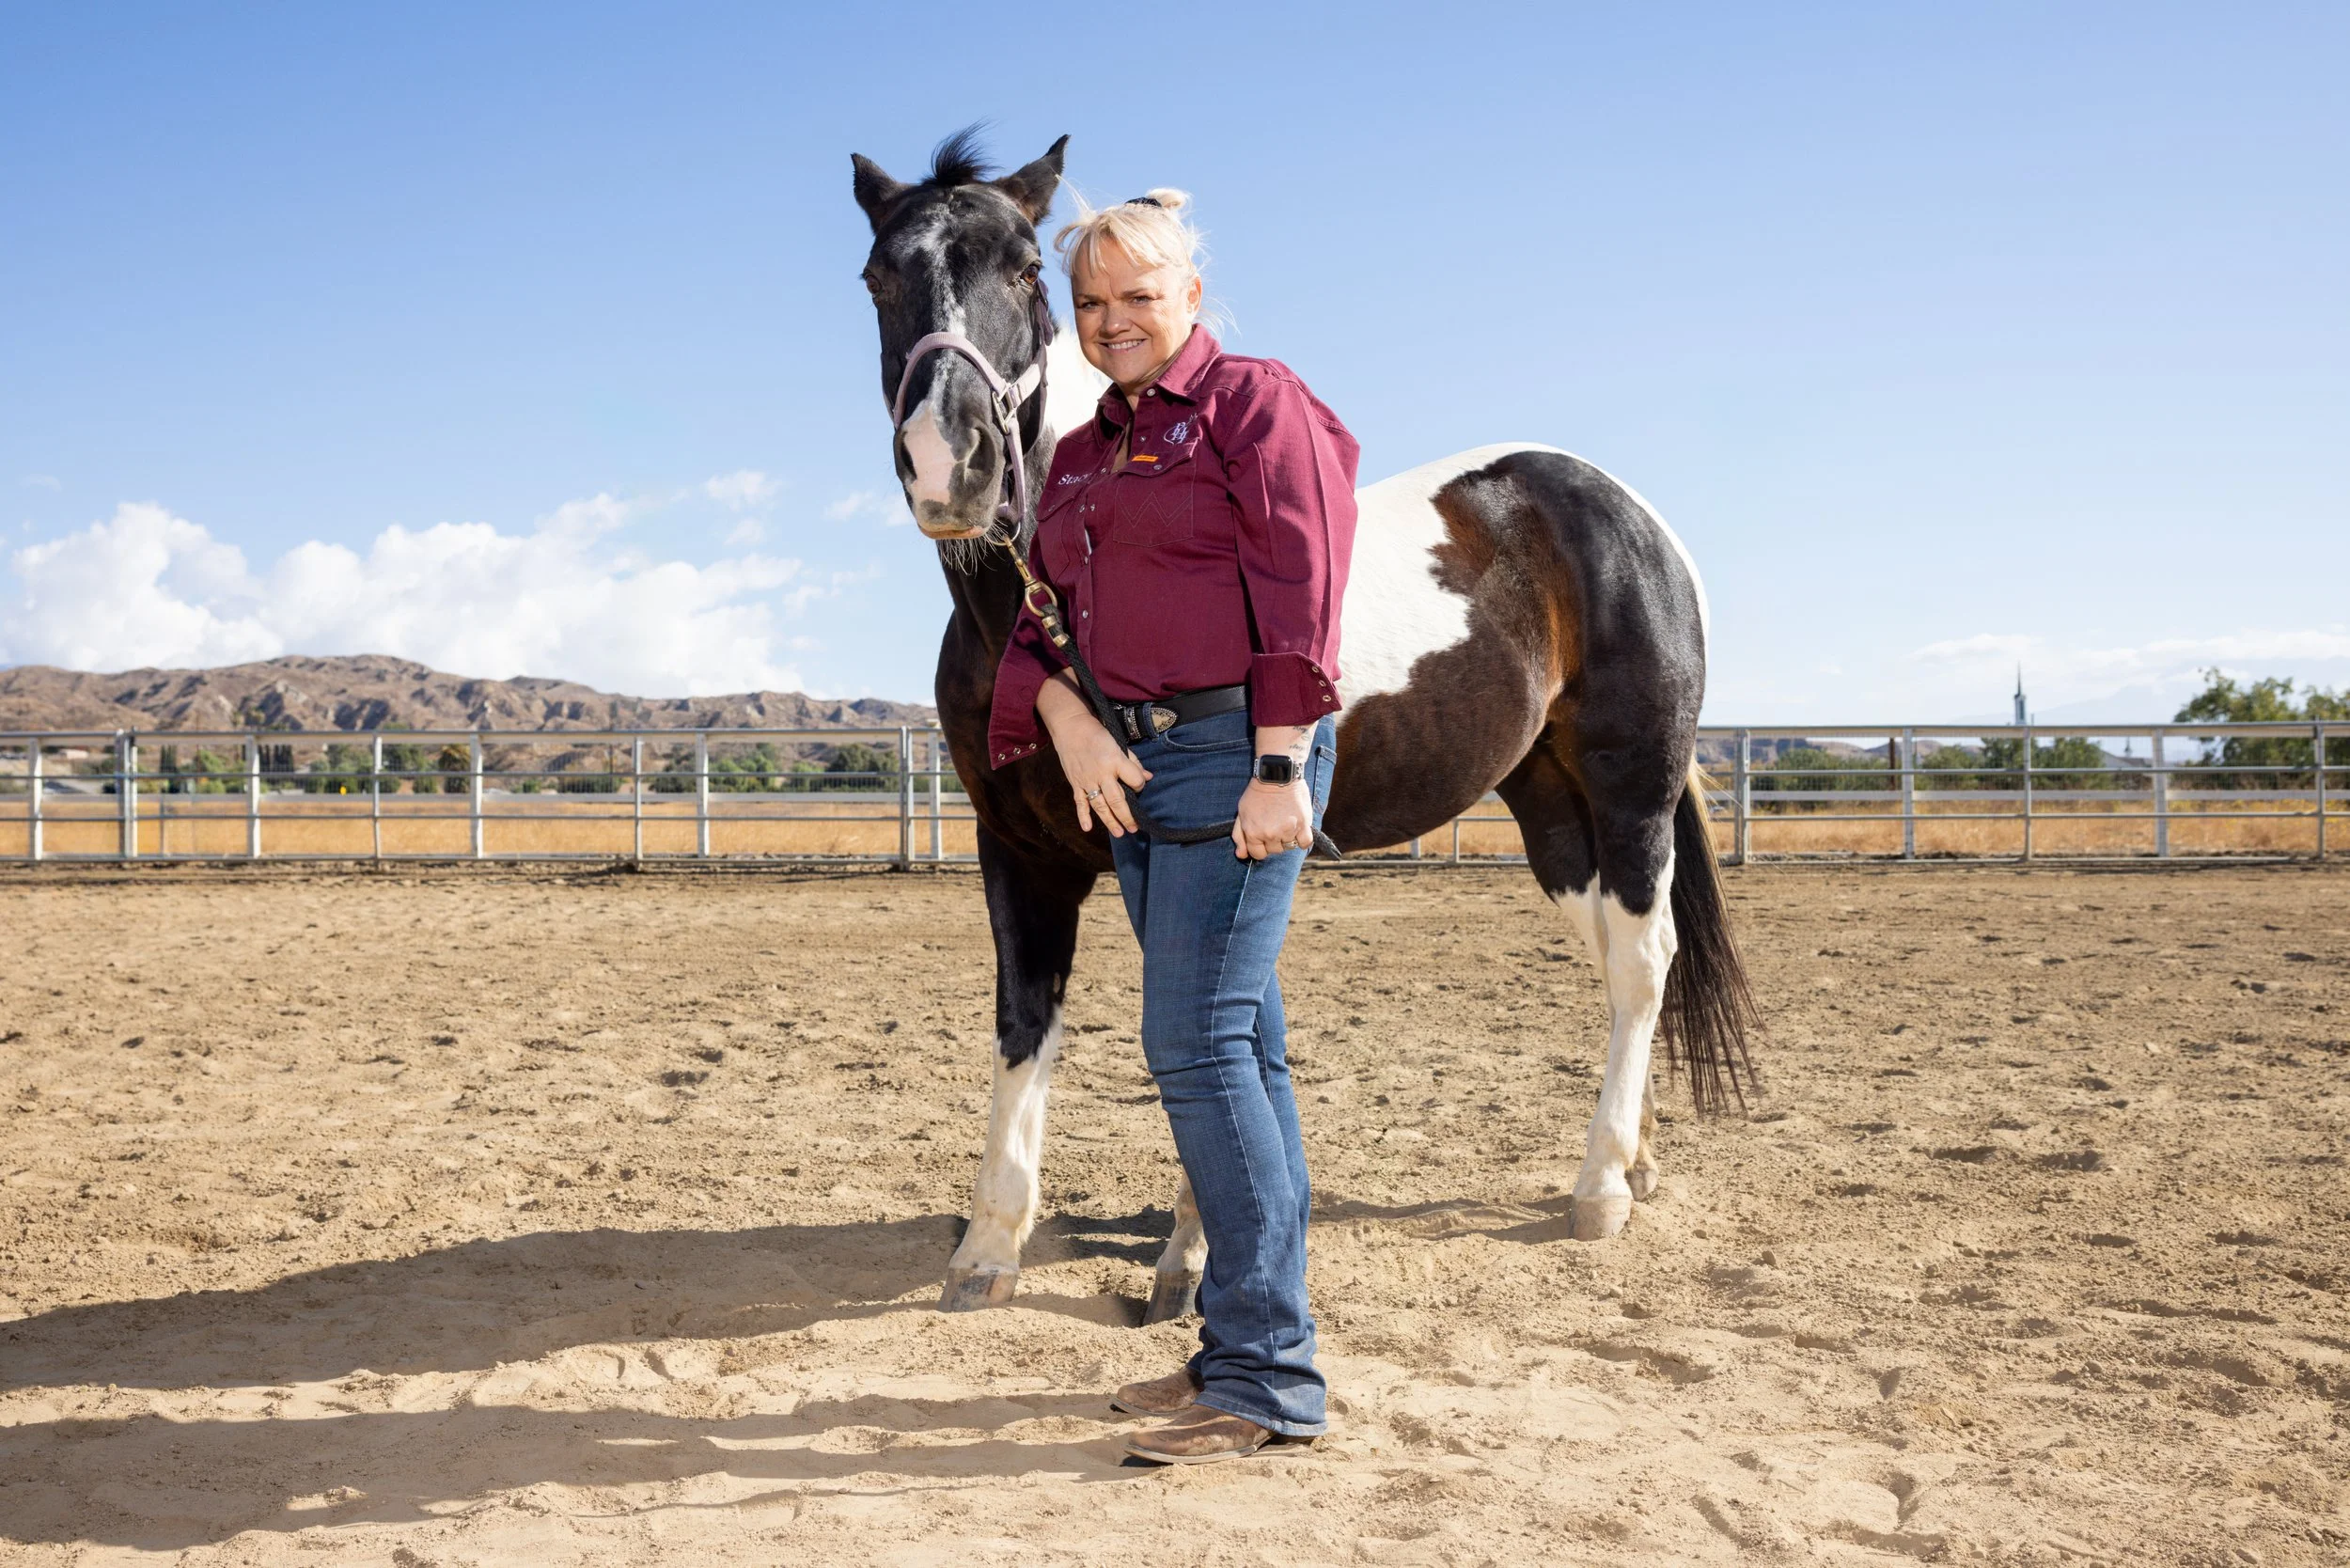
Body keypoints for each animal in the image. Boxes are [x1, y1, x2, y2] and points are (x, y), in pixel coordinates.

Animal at [850, 130, 1756, 1320]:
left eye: (1024, 268)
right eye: (878, 277)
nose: (949, 463)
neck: (1040, 614)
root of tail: (1625, 511)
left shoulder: (1194, 850)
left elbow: (1199, 1027)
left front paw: (1191, 1257)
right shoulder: (1020, 852)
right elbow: (1023, 1020)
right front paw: (989, 1247)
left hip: (1629, 787)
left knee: (1646, 955)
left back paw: (1600, 1187)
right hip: (1551, 811)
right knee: (1613, 954)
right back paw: (1635, 1154)